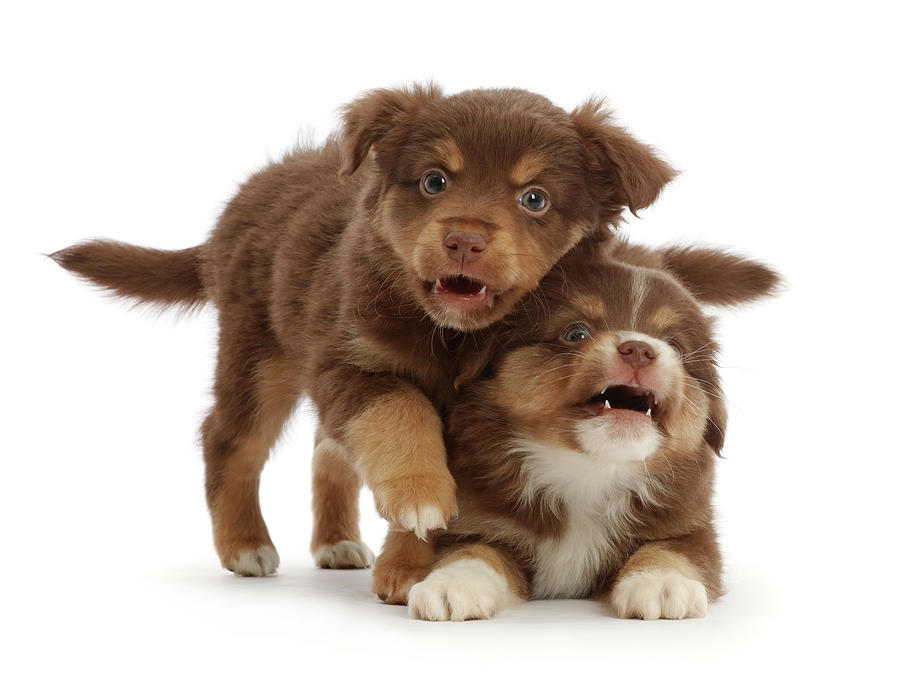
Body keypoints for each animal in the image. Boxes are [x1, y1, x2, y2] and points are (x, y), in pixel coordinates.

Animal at [49, 87, 676, 580]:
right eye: (434, 181)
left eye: (535, 199)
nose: (464, 240)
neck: (454, 337)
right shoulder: (354, 362)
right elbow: (400, 416)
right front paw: (420, 497)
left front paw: (408, 567)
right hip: (260, 354)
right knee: (227, 438)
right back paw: (244, 545)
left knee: (326, 450)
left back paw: (335, 543)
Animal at [374, 241, 780, 620]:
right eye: (576, 333)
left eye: (676, 348)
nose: (640, 349)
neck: (586, 470)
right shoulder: (478, 521)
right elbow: (473, 552)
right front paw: (451, 586)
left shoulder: (690, 527)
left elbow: (669, 551)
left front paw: (662, 584)